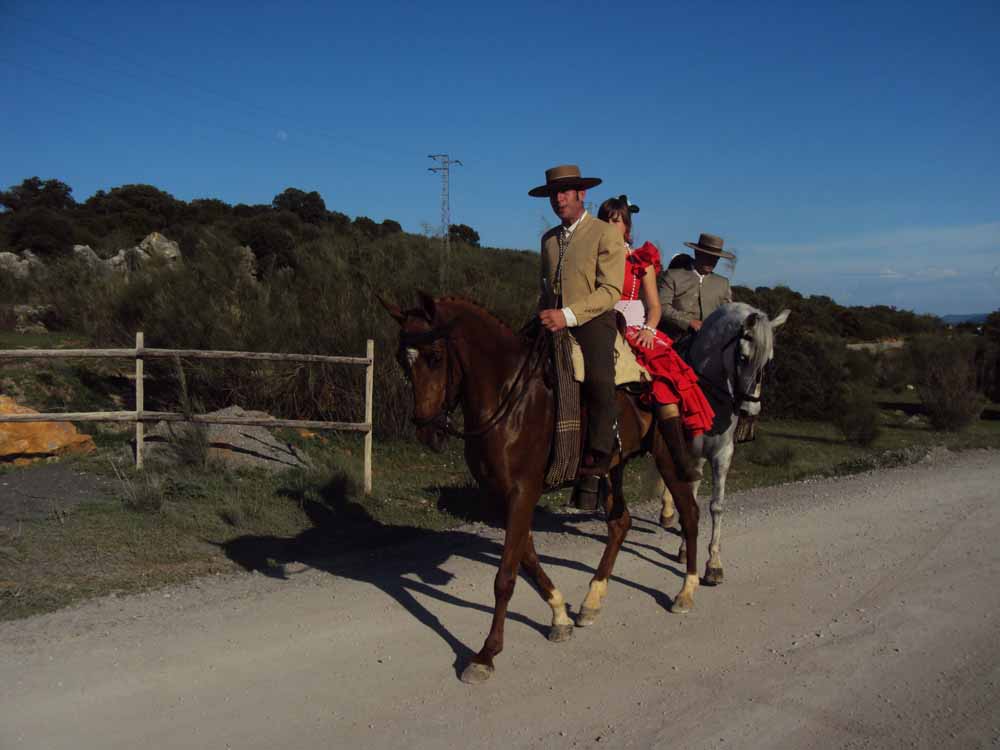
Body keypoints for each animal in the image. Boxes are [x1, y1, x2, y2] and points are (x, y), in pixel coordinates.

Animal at [378, 296, 700, 688]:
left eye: (436, 356)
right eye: (401, 358)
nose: (428, 430)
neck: (509, 397)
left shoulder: (522, 492)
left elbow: (505, 577)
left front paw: (485, 655)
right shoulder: (501, 496)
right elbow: (527, 559)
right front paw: (559, 615)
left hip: (669, 456)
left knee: (689, 514)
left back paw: (686, 591)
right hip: (613, 466)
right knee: (620, 523)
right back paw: (591, 601)